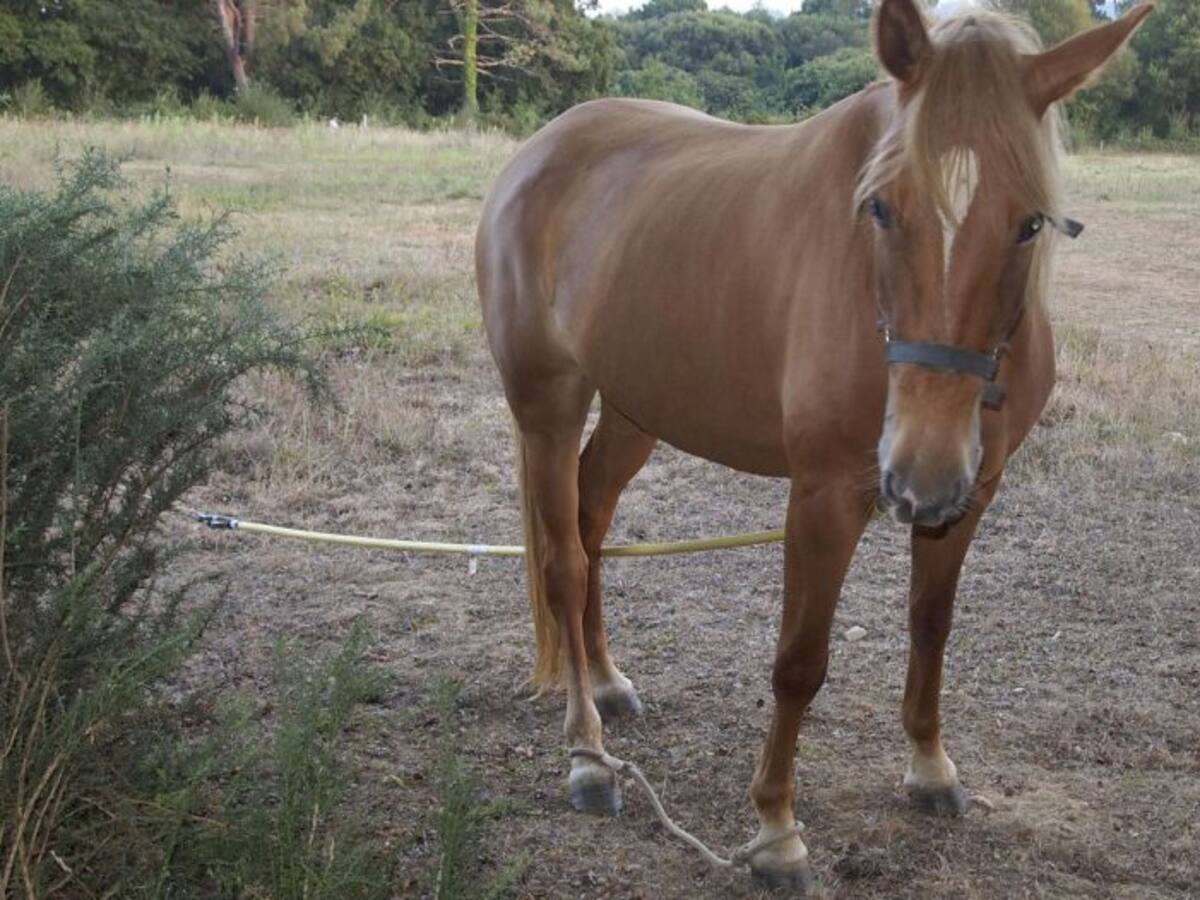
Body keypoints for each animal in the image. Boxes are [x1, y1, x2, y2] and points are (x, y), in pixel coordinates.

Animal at [474, 0, 1153, 890]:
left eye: (1029, 222)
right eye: (882, 207)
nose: (919, 473)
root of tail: (538, 152)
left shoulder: (971, 496)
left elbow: (930, 624)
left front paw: (930, 767)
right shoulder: (826, 497)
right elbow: (799, 661)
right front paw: (775, 833)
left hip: (633, 409)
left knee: (589, 529)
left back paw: (610, 684)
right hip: (548, 407)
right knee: (562, 562)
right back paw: (588, 755)